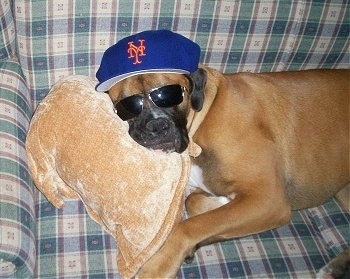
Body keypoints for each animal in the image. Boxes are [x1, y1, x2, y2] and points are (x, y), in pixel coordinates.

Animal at [108, 66, 348, 278]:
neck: (205, 114)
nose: (157, 126)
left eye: (169, 94)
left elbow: (190, 226)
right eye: (128, 106)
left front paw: (158, 266)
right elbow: (194, 203)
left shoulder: (269, 199)